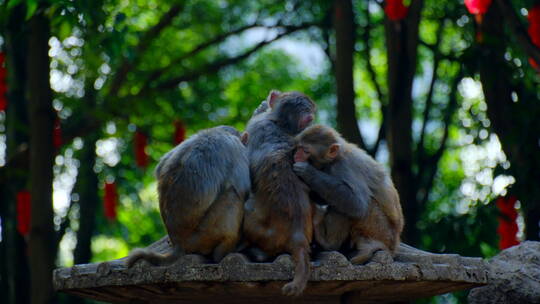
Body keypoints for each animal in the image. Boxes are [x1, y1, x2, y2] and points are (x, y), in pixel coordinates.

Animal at [126, 124, 251, 268]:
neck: (215, 132)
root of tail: (180, 244)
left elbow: (160, 167)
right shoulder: (235, 149)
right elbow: (243, 189)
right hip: (203, 235)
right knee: (232, 195)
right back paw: (223, 253)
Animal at [294, 124, 402, 264]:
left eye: (305, 151)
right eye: (299, 148)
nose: (296, 155)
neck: (335, 159)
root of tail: (393, 246)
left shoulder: (344, 167)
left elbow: (357, 204)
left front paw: (308, 172)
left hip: (379, 229)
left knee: (350, 208)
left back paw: (329, 243)